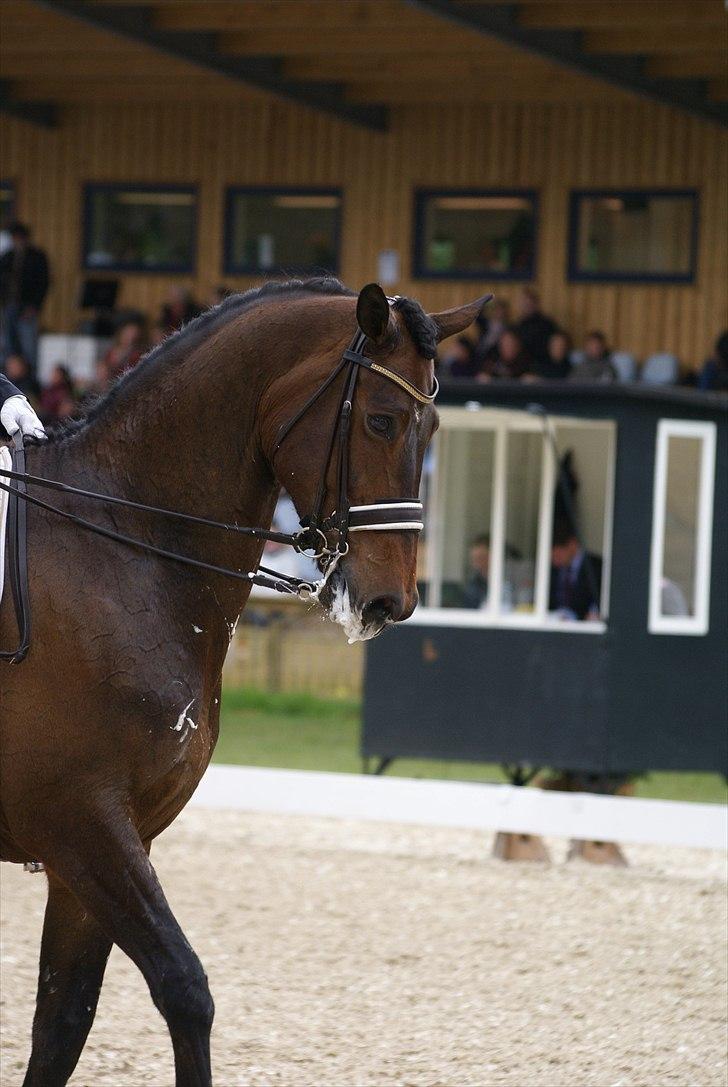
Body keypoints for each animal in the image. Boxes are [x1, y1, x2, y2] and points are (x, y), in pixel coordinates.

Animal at [1, 273, 491, 1087]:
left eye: (433, 430)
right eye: (382, 421)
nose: (390, 602)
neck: (124, 550)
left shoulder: (104, 845)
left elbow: (62, 1022)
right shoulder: (82, 820)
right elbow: (184, 987)